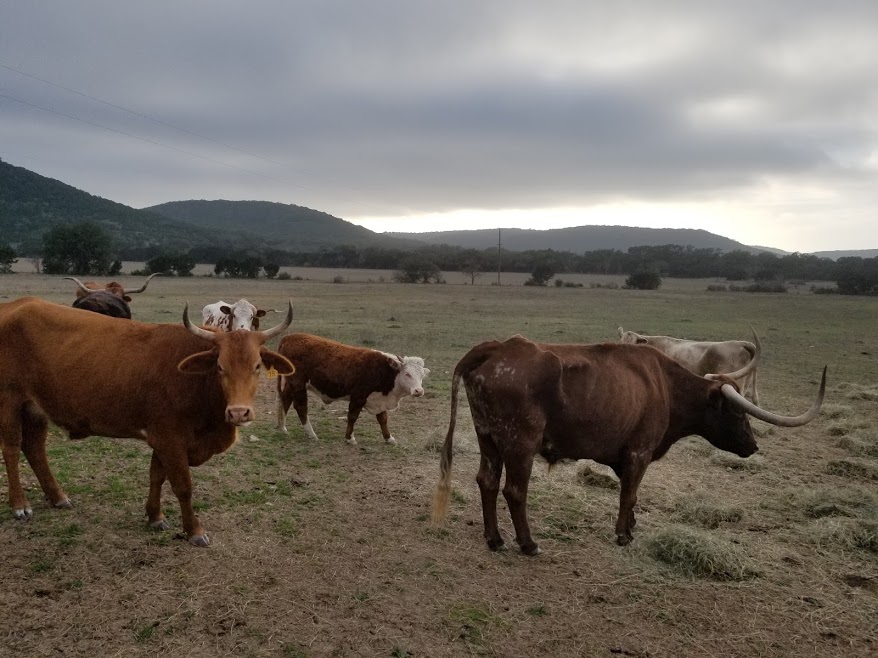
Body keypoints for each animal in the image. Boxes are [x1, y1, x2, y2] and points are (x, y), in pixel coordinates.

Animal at [0, 296, 296, 544]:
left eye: (257, 366)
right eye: (220, 366)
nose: (238, 412)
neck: (195, 381)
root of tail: (15, 304)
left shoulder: (162, 438)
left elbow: (156, 476)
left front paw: (155, 516)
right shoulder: (170, 439)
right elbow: (183, 486)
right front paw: (194, 530)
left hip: (35, 409)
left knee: (35, 449)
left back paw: (57, 496)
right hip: (10, 401)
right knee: (12, 449)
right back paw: (19, 505)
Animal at [274, 334, 428, 446]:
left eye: (422, 375)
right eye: (407, 374)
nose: (418, 391)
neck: (384, 370)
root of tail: (289, 337)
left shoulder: (378, 400)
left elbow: (383, 419)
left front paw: (389, 438)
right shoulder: (358, 397)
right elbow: (352, 417)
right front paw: (350, 438)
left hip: (291, 384)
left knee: (285, 399)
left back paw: (282, 428)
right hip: (298, 384)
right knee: (300, 407)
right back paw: (311, 434)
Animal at [436, 336, 828, 552]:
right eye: (735, 412)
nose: (753, 446)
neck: (665, 386)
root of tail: (496, 348)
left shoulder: (624, 458)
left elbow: (632, 495)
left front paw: (633, 526)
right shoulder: (639, 453)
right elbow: (629, 494)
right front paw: (624, 534)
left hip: (488, 437)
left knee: (487, 481)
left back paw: (494, 539)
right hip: (520, 443)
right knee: (514, 491)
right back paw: (527, 544)